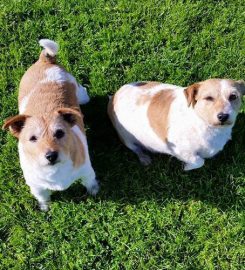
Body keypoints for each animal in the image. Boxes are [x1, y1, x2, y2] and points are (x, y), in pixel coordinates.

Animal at [2, 39, 99, 211]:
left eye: (60, 133)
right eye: (32, 138)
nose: (51, 155)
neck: (54, 171)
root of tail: (45, 61)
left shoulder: (87, 172)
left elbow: (90, 183)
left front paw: (94, 192)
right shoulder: (36, 187)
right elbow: (43, 197)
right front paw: (45, 208)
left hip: (80, 94)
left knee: (84, 92)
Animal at [108, 79, 245, 170]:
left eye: (233, 96)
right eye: (208, 98)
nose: (223, 116)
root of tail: (114, 96)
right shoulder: (178, 150)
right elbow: (199, 161)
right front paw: (186, 167)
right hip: (126, 139)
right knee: (136, 149)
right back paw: (144, 158)